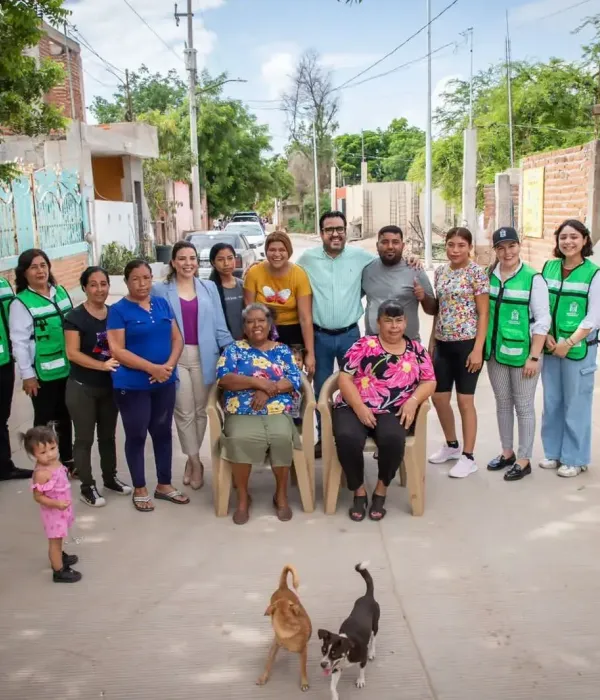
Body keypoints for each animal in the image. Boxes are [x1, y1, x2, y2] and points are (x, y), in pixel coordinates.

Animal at [318, 562, 380, 700]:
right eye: (323, 650)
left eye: (334, 653)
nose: (322, 664)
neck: (346, 654)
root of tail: (367, 596)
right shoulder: (336, 668)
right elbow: (332, 687)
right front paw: (335, 696)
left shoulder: (362, 659)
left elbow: (361, 670)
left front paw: (360, 681)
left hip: (375, 626)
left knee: (373, 639)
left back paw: (372, 652)